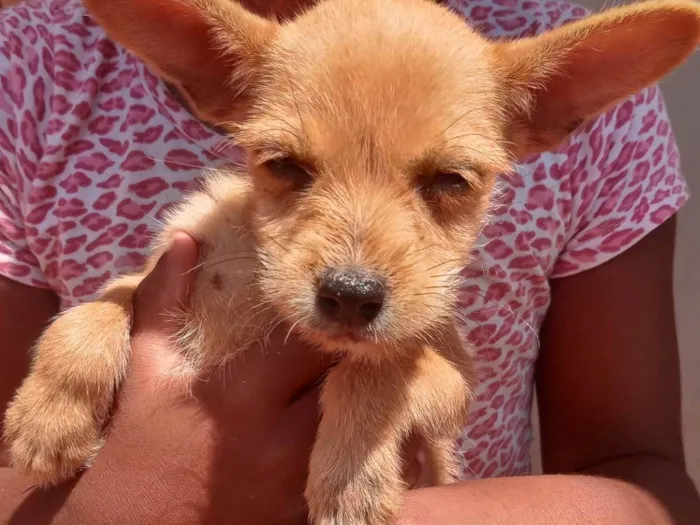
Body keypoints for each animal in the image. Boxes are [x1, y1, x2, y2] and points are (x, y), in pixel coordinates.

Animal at [5, 1, 700, 524]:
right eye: (284, 166)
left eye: (451, 181)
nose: (350, 294)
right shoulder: (164, 269)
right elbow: (95, 308)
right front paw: (49, 413)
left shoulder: (451, 378)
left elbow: (375, 368)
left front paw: (351, 481)